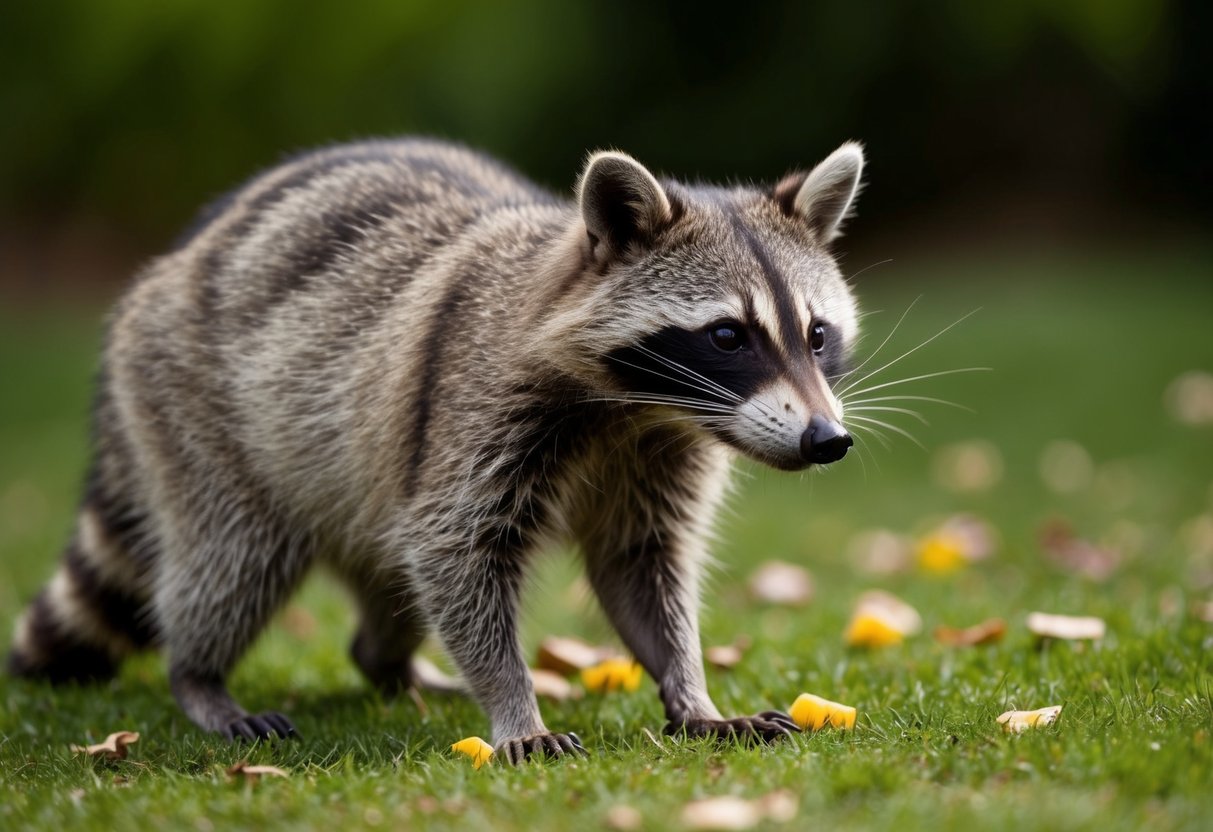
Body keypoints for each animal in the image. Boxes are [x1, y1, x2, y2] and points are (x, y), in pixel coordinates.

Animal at [8, 138, 864, 763]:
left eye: (816, 335)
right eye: (727, 336)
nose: (827, 440)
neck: (634, 406)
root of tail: (168, 266)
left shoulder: (658, 451)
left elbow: (640, 565)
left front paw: (690, 691)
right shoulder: (471, 408)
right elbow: (456, 552)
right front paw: (514, 706)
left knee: (384, 590)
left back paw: (386, 661)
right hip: (192, 406)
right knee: (235, 558)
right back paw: (198, 675)